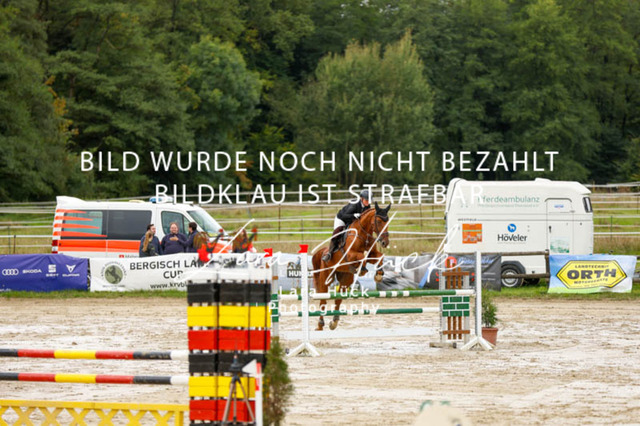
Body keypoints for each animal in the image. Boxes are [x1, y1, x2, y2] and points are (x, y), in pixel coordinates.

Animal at [311, 202, 391, 330]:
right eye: (378, 221)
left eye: (387, 221)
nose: (385, 242)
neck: (363, 234)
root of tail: (322, 252)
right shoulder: (350, 254)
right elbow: (362, 256)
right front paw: (362, 269)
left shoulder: (372, 254)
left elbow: (380, 256)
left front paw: (378, 275)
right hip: (325, 278)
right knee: (323, 300)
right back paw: (320, 324)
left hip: (345, 279)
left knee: (338, 299)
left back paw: (334, 322)